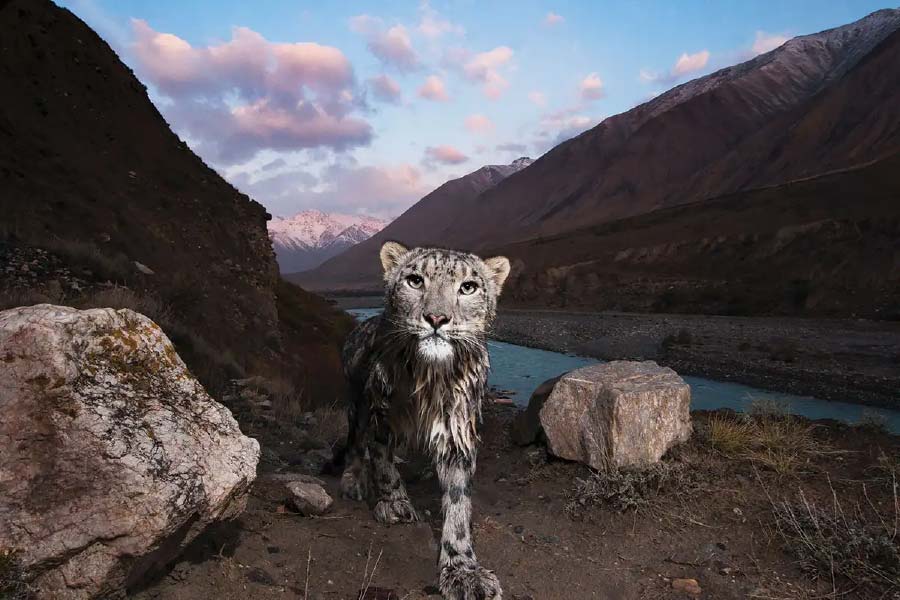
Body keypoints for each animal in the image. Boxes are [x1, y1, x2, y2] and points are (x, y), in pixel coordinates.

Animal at [340, 241, 510, 600]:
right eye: (415, 280)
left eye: (468, 287)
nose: (436, 318)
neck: (430, 380)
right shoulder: (381, 417)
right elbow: (383, 464)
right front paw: (395, 504)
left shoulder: (458, 433)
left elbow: (459, 503)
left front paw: (462, 570)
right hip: (357, 405)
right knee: (355, 444)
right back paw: (353, 480)